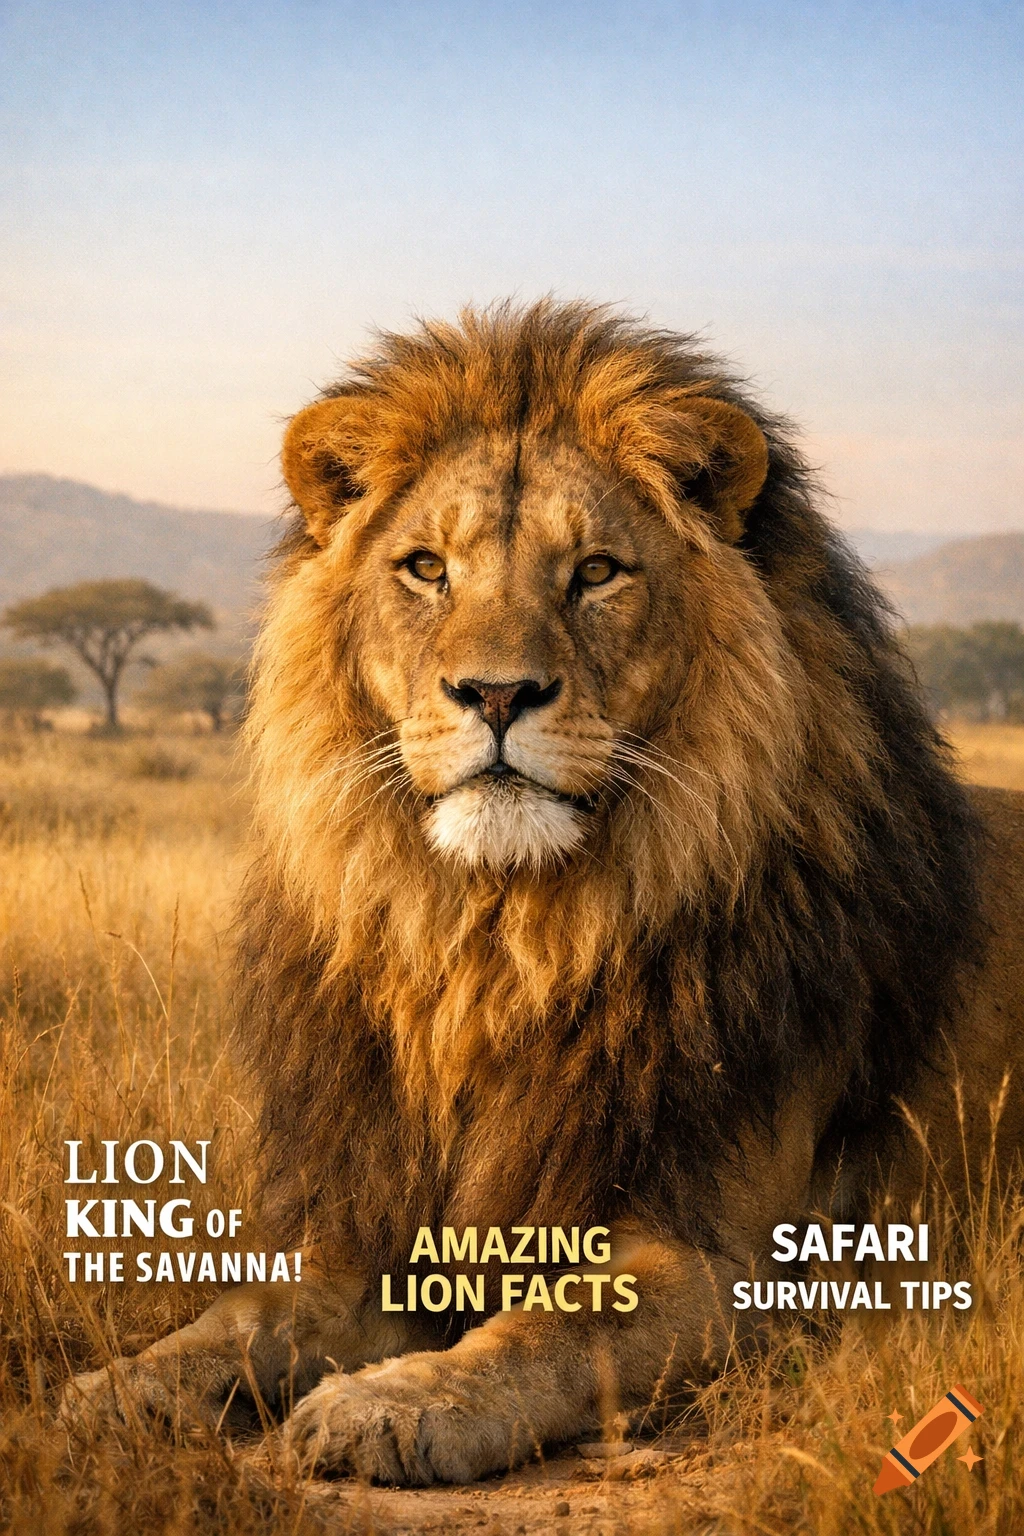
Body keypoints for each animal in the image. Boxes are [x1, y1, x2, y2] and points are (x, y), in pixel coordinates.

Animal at [64, 300, 1024, 1485]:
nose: (495, 693)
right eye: (426, 568)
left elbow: (548, 1330)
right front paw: (111, 1393)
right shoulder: (370, 1224)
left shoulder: (724, 1264)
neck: (500, 946)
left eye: (598, 571)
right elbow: (241, 1319)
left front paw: (391, 1401)